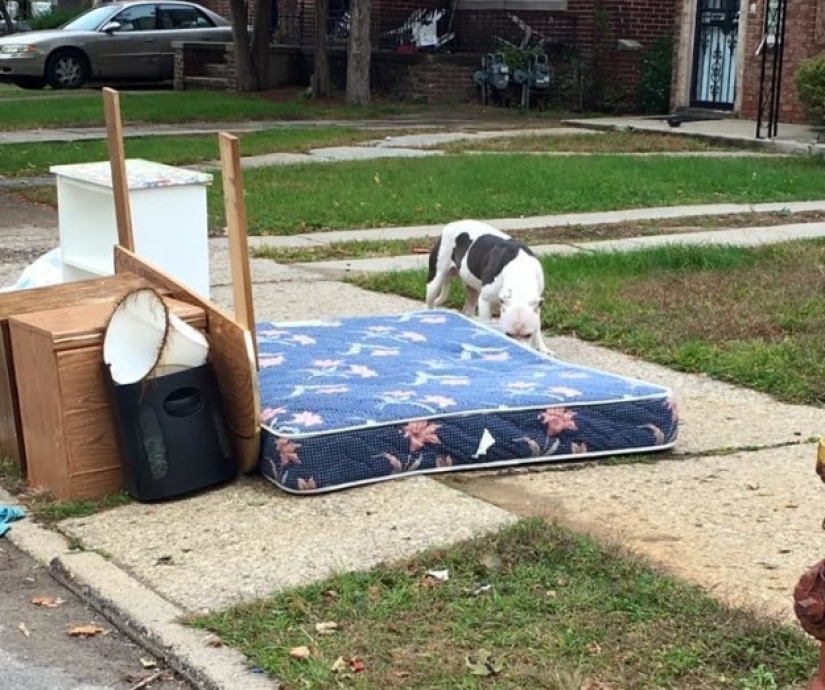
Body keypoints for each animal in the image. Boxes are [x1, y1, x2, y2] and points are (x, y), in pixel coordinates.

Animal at [424, 218, 552, 352]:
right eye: (508, 334)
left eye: (528, 335)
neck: (520, 275)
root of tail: (452, 224)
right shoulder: (485, 301)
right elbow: (486, 323)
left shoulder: (536, 305)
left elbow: (537, 328)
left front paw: (542, 348)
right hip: (435, 281)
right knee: (429, 303)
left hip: (471, 289)